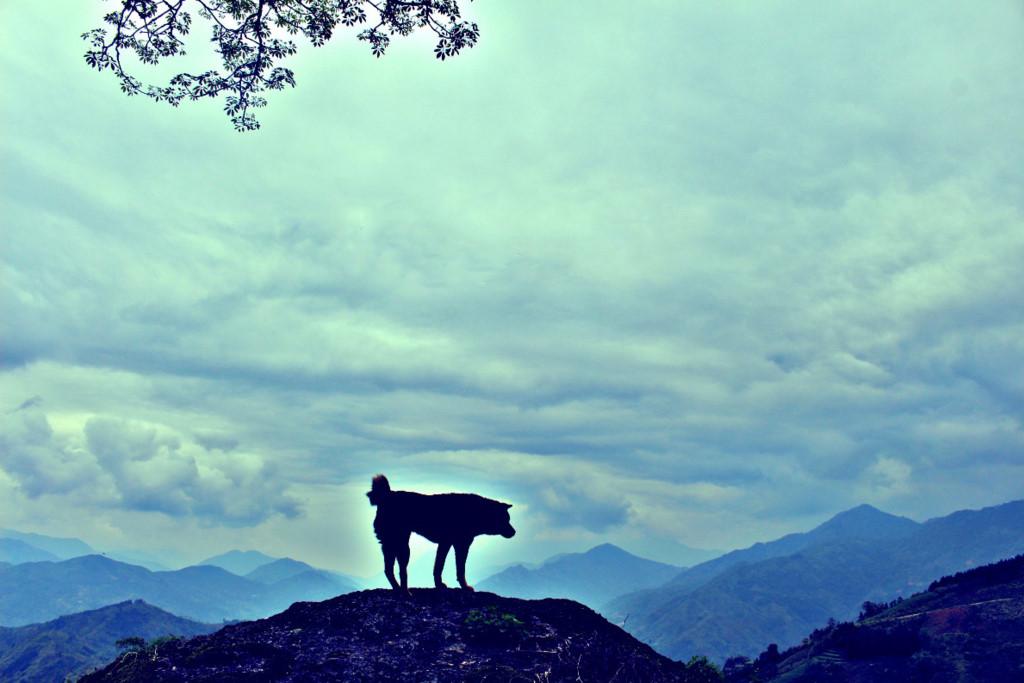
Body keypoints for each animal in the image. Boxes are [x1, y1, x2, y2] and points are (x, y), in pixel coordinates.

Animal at [366, 475, 516, 593]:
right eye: (505, 520)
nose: (514, 532)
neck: (478, 513)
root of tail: (387, 496)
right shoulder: (460, 545)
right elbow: (458, 569)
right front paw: (464, 587)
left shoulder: (447, 544)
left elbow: (439, 566)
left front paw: (439, 585)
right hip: (402, 546)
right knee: (402, 571)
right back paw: (405, 592)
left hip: (390, 544)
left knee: (388, 570)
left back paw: (397, 589)